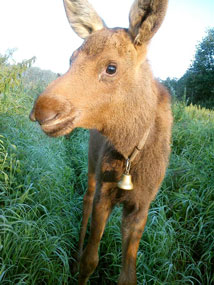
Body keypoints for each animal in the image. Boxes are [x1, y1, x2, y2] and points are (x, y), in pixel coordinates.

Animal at [29, 0, 172, 280]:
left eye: (111, 67)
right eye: (71, 58)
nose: (42, 110)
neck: (131, 154)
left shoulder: (141, 206)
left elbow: (128, 275)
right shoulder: (104, 194)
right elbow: (90, 260)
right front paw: (79, 266)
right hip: (92, 164)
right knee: (85, 198)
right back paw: (74, 257)